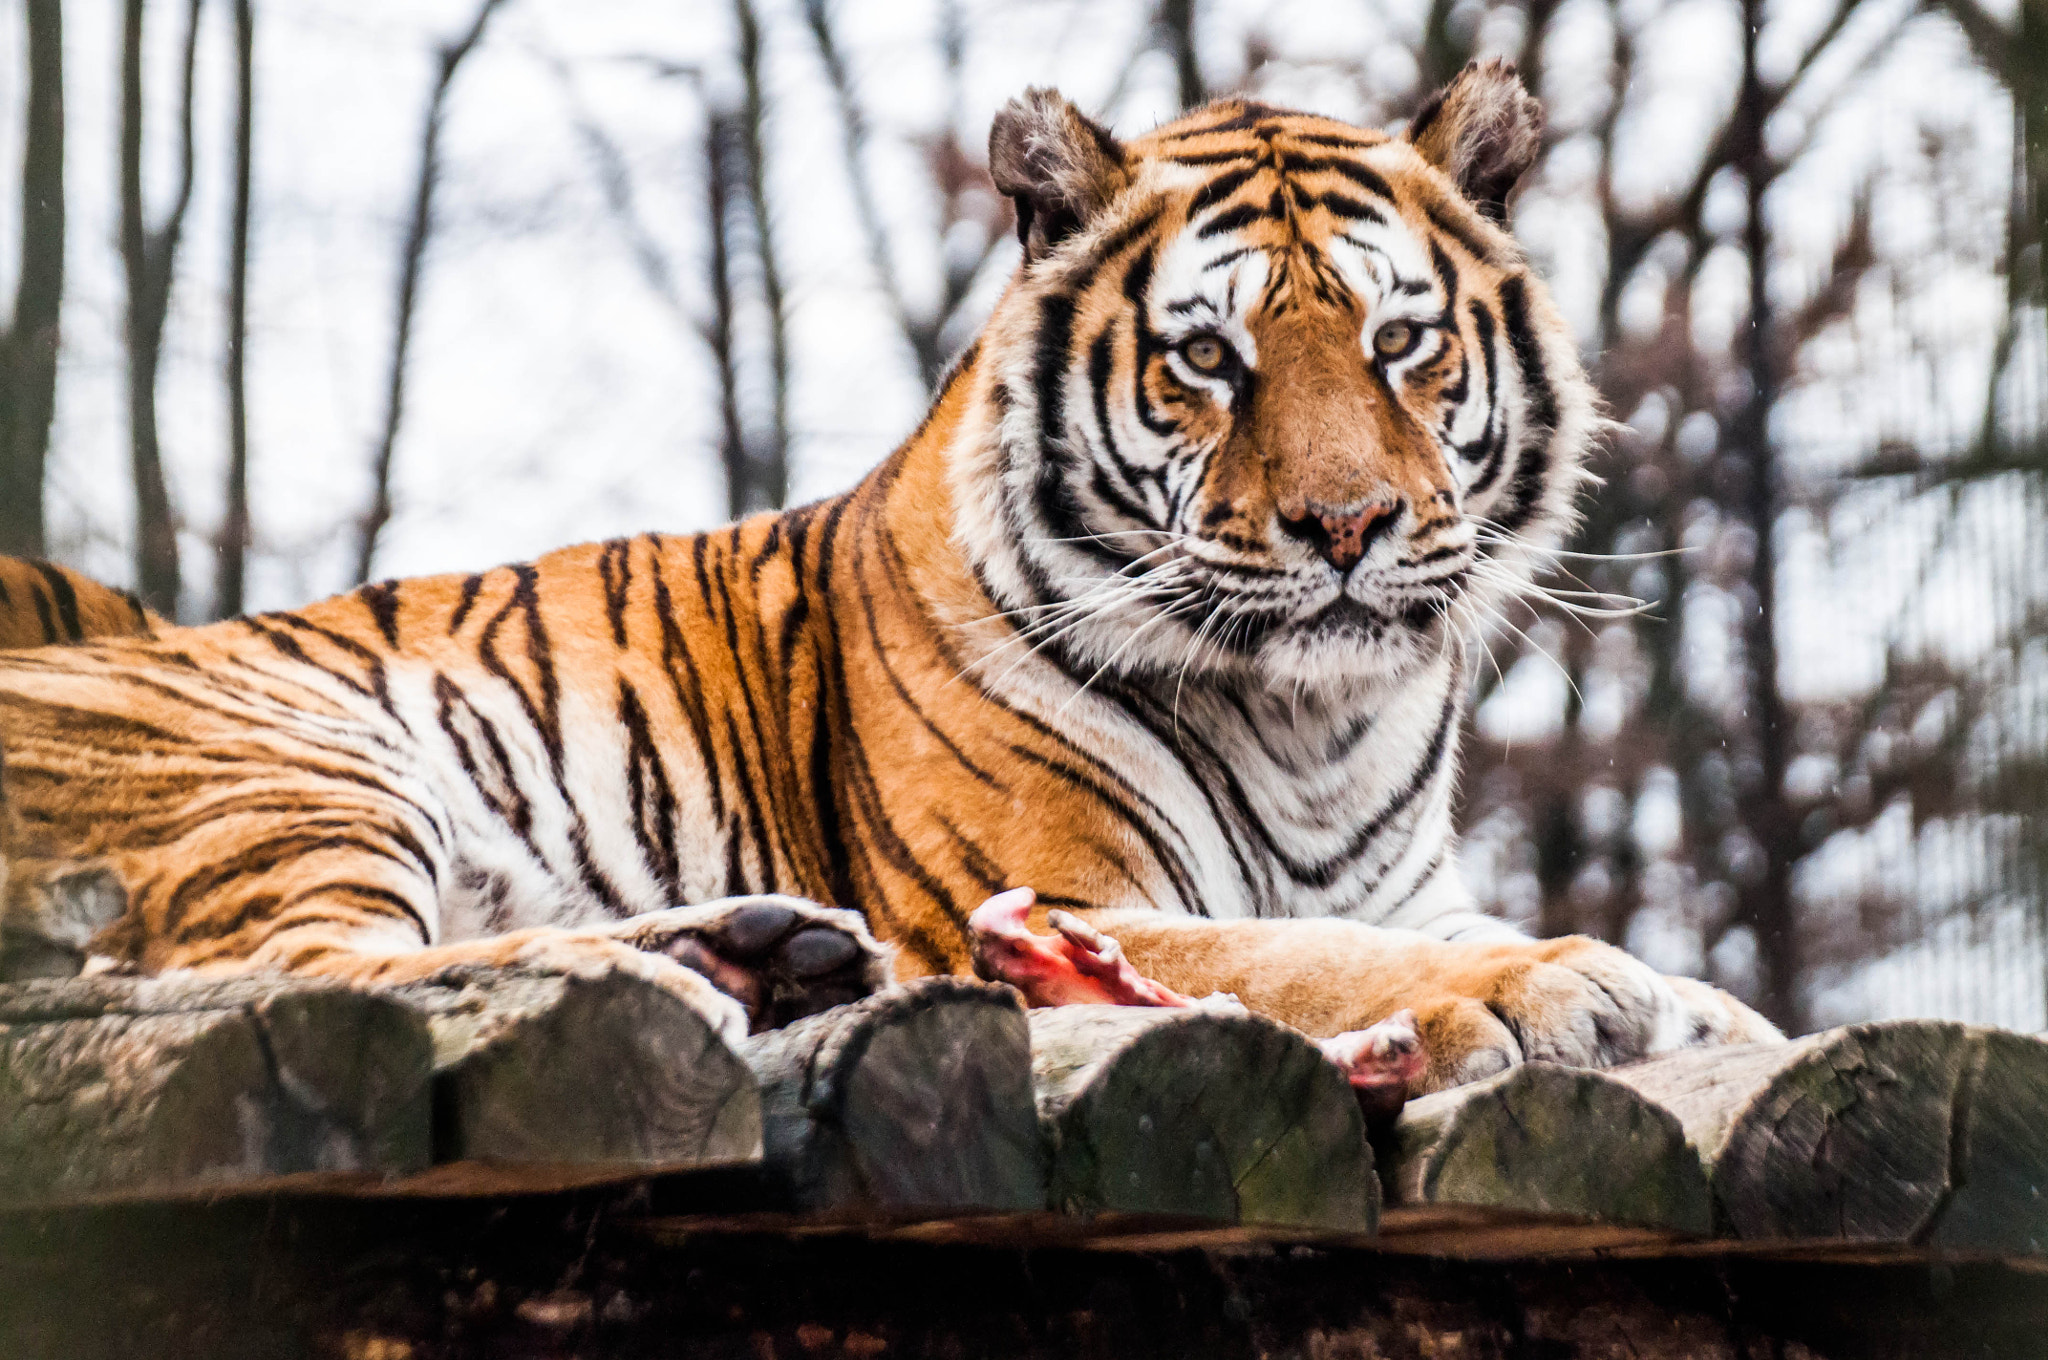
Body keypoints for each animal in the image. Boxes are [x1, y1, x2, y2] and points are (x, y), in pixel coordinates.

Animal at [0, 62, 1778, 1097]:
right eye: (1208, 359)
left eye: (1401, 343)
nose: (1348, 528)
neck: (1315, 722)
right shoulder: (1042, 901)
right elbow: (1301, 956)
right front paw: (1558, 982)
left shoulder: (1392, 873)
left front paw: (1718, 1019)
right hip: (298, 761)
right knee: (266, 974)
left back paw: (758, 956)